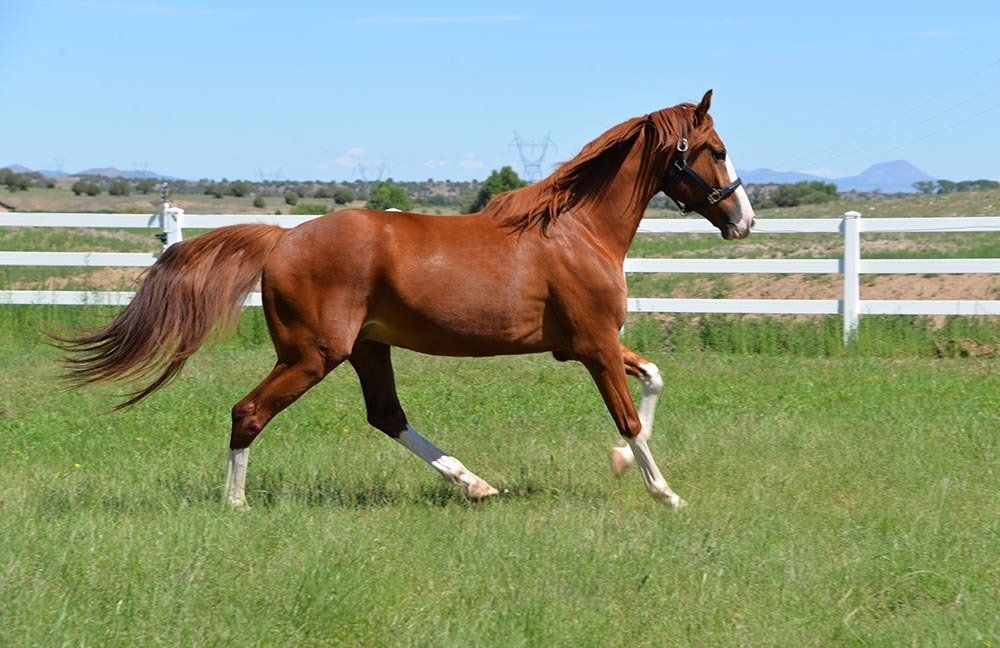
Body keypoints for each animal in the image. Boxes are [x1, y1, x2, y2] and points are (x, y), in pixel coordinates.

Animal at [56, 90, 756, 509]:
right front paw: (665, 494)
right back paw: (236, 505)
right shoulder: (594, 345)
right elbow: (629, 418)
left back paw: (477, 485)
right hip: (312, 355)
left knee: (386, 416)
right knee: (248, 412)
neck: (577, 231)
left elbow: (654, 379)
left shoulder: (583, 346)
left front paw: (619, 467)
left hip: (367, 349)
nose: (744, 221)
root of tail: (283, 238)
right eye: (716, 151)